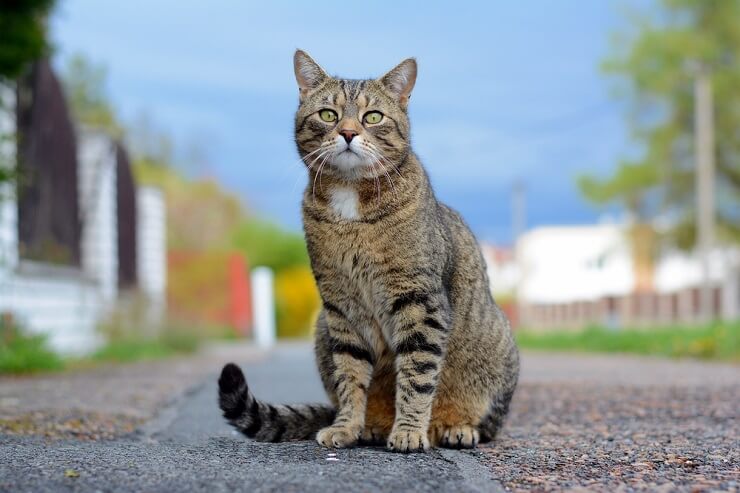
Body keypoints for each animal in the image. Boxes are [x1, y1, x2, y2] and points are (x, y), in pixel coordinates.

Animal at [218, 49, 520, 450]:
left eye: (372, 116)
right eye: (328, 115)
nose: (348, 132)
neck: (350, 199)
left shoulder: (419, 301)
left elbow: (418, 374)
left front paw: (409, 431)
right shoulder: (341, 306)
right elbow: (350, 377)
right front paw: (347, 426)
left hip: (495, 350)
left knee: (484, 423)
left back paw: (454, 428)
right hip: (322, 327)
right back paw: (371, 426)